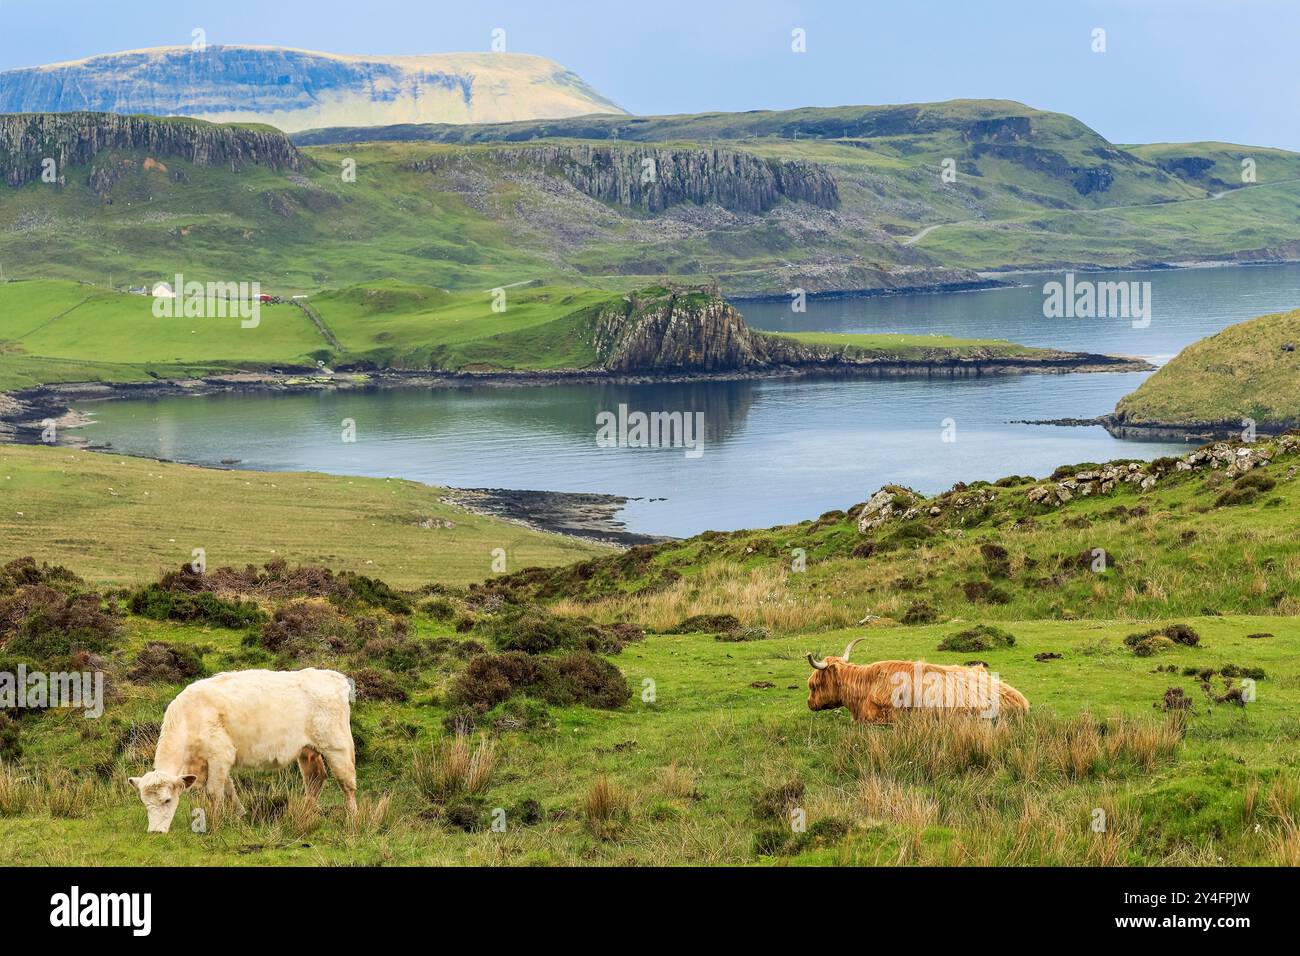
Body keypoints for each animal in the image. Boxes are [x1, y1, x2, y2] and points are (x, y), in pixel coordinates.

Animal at [127, 671, 356, 832]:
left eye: (167, 800)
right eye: (144, 802)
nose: (155, 832)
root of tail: (334, 676)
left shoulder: (219, 755)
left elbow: (214, 792)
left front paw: (214, 824)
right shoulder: (220, 761)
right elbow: (229, 789)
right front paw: (240, 814)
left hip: (337, 746)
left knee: (347, 783)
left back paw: (352, 820)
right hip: (307, 750)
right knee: (315, 779)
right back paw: (304, 815)